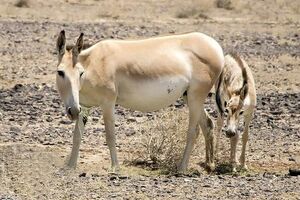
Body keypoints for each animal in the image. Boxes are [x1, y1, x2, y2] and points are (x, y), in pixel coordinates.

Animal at [55, 30, 225, 173]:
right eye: (60, 72)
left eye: (80, 73)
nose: (72, 111)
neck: (94, 64)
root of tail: (215, 45)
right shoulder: (84, 106)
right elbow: (77, 136)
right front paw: (70, 166)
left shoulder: (108, 103)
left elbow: (110, 136)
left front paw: (115, 167)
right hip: (189, 96)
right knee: (208, 124)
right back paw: (209, 165)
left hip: (196, 95)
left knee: (193, 131)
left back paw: (182, 168)